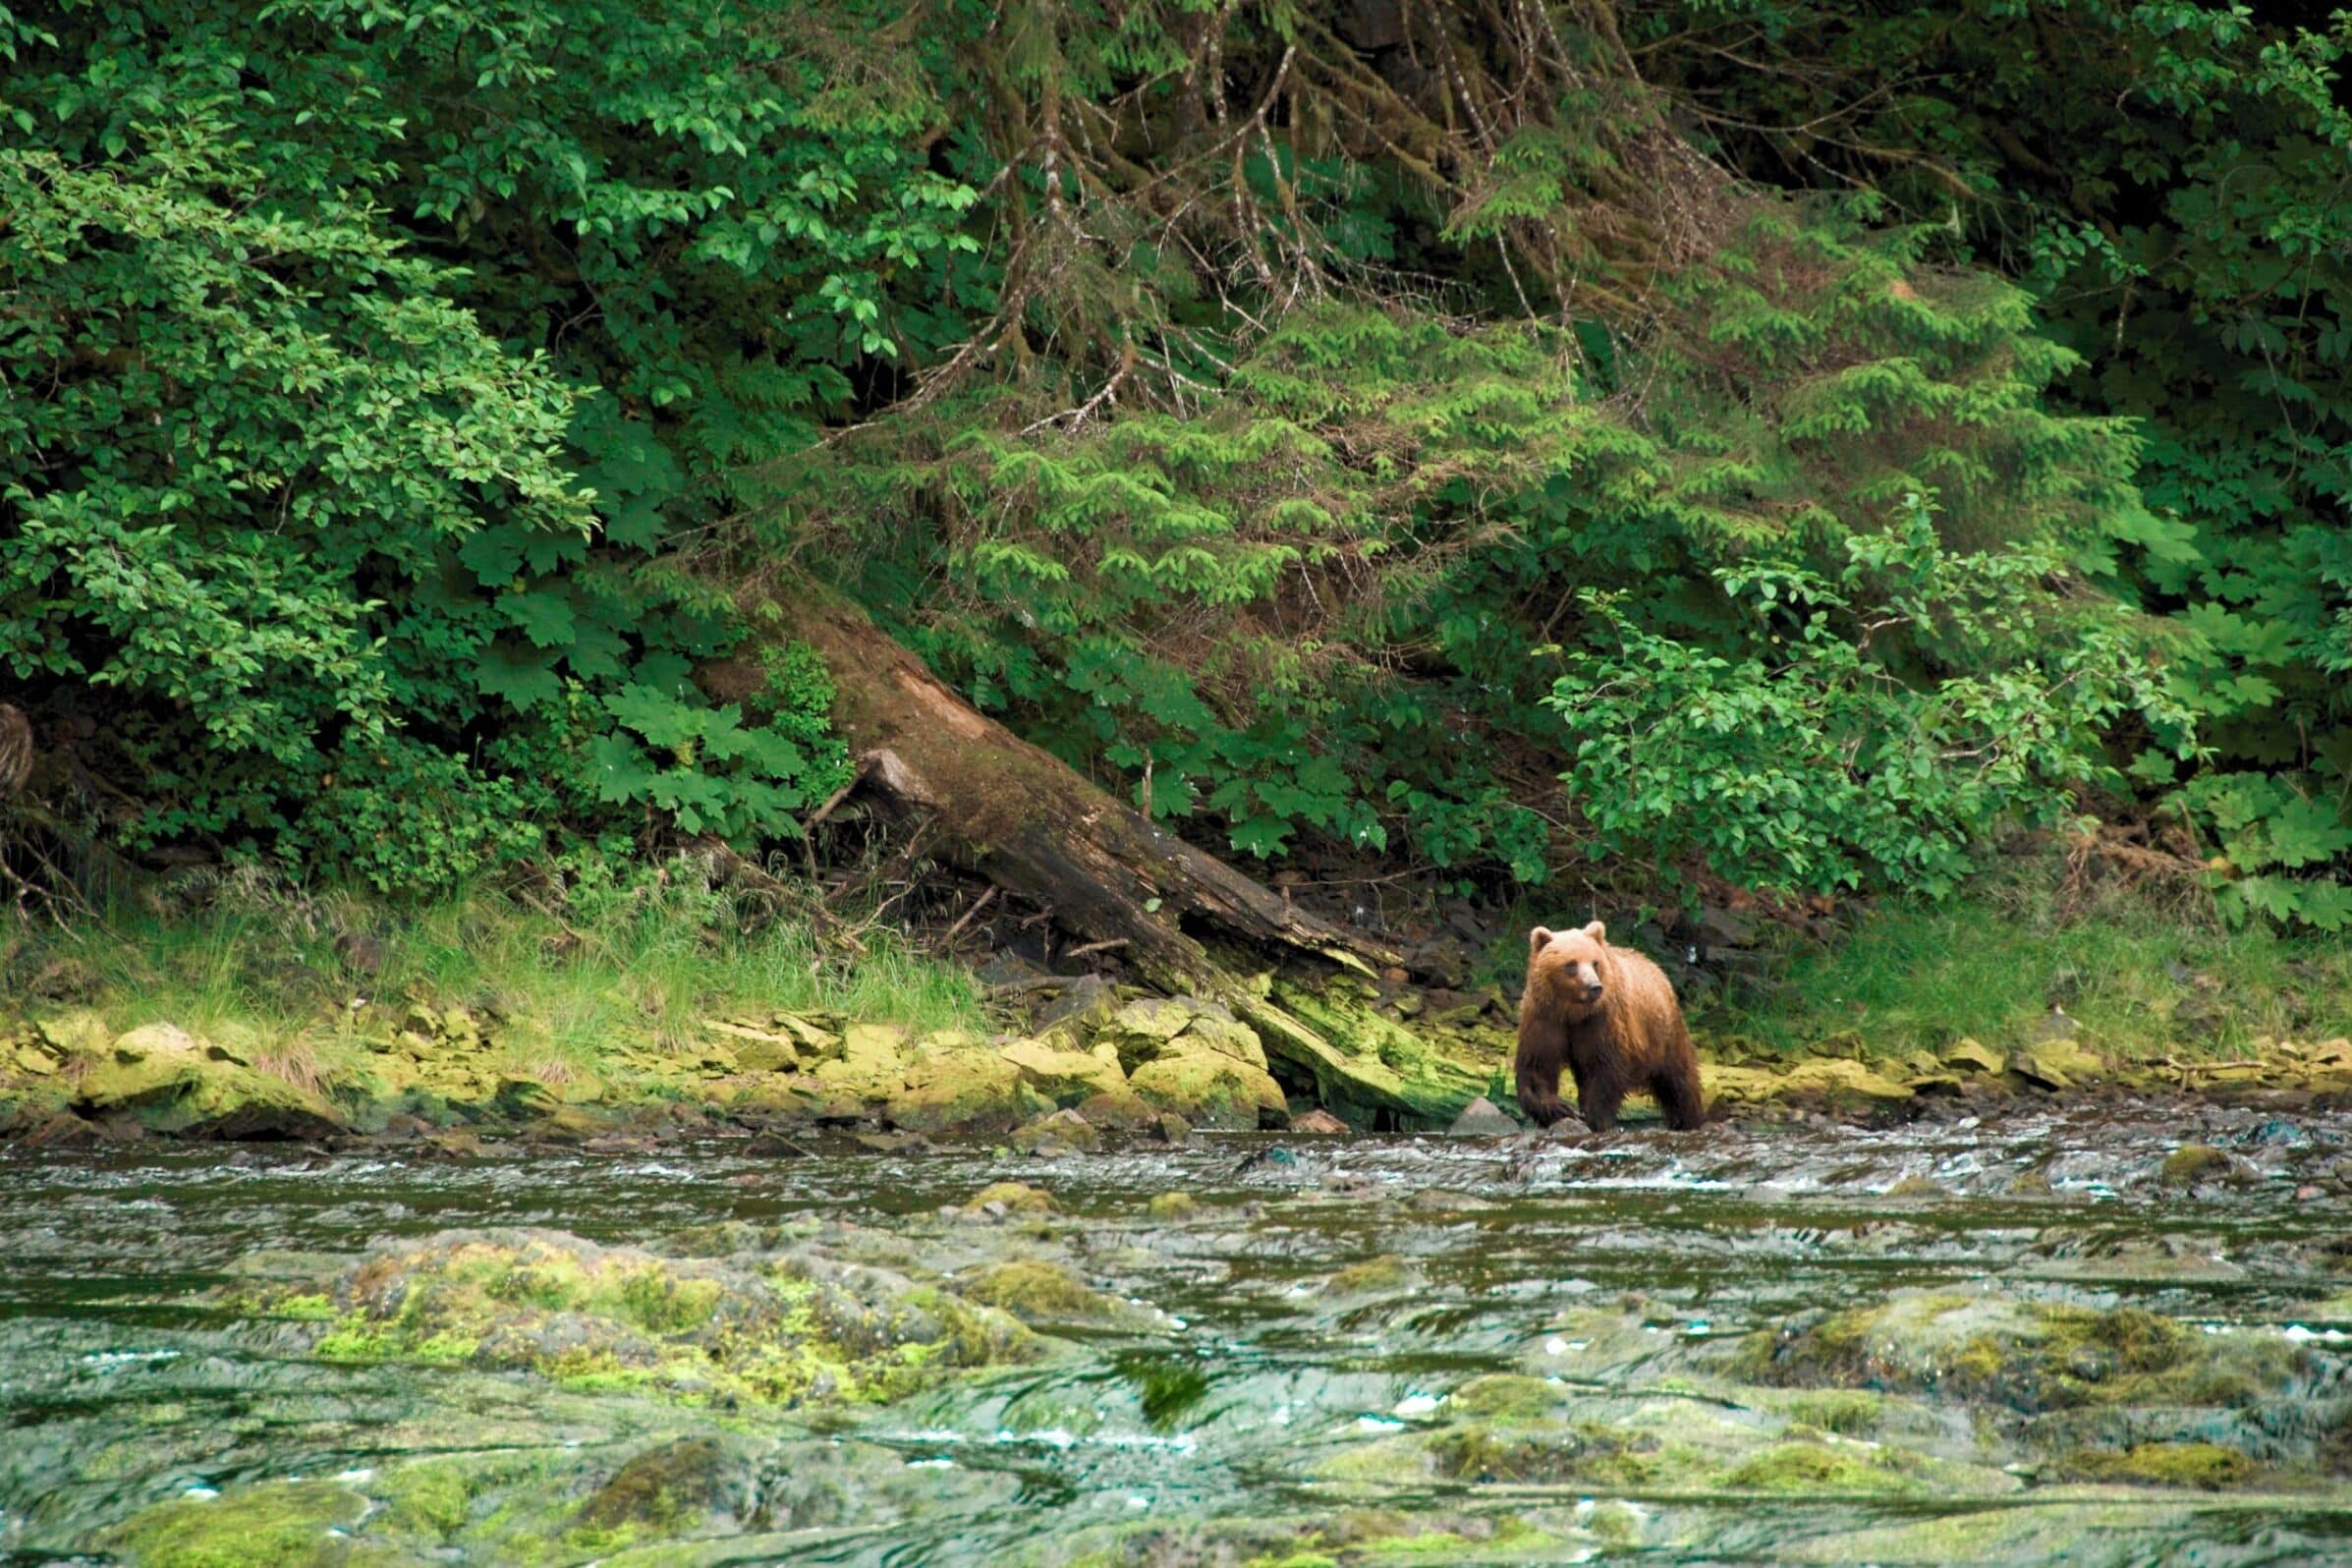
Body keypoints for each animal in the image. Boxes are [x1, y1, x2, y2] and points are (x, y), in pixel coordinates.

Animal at [1515, 921, 1705, 1132]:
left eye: (1595, 962)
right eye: (1571, 964)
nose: (1594, 987)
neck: (1572, 1012)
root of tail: (1657, 969)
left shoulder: (1602, 1020)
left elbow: (1604, 1067)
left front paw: (1595, 1117)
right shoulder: (1545, 1017)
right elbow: (1538, 1064)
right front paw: (1559, 1108)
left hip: (1664, 1034)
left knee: (1678, 1080)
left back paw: (1688, 1119)